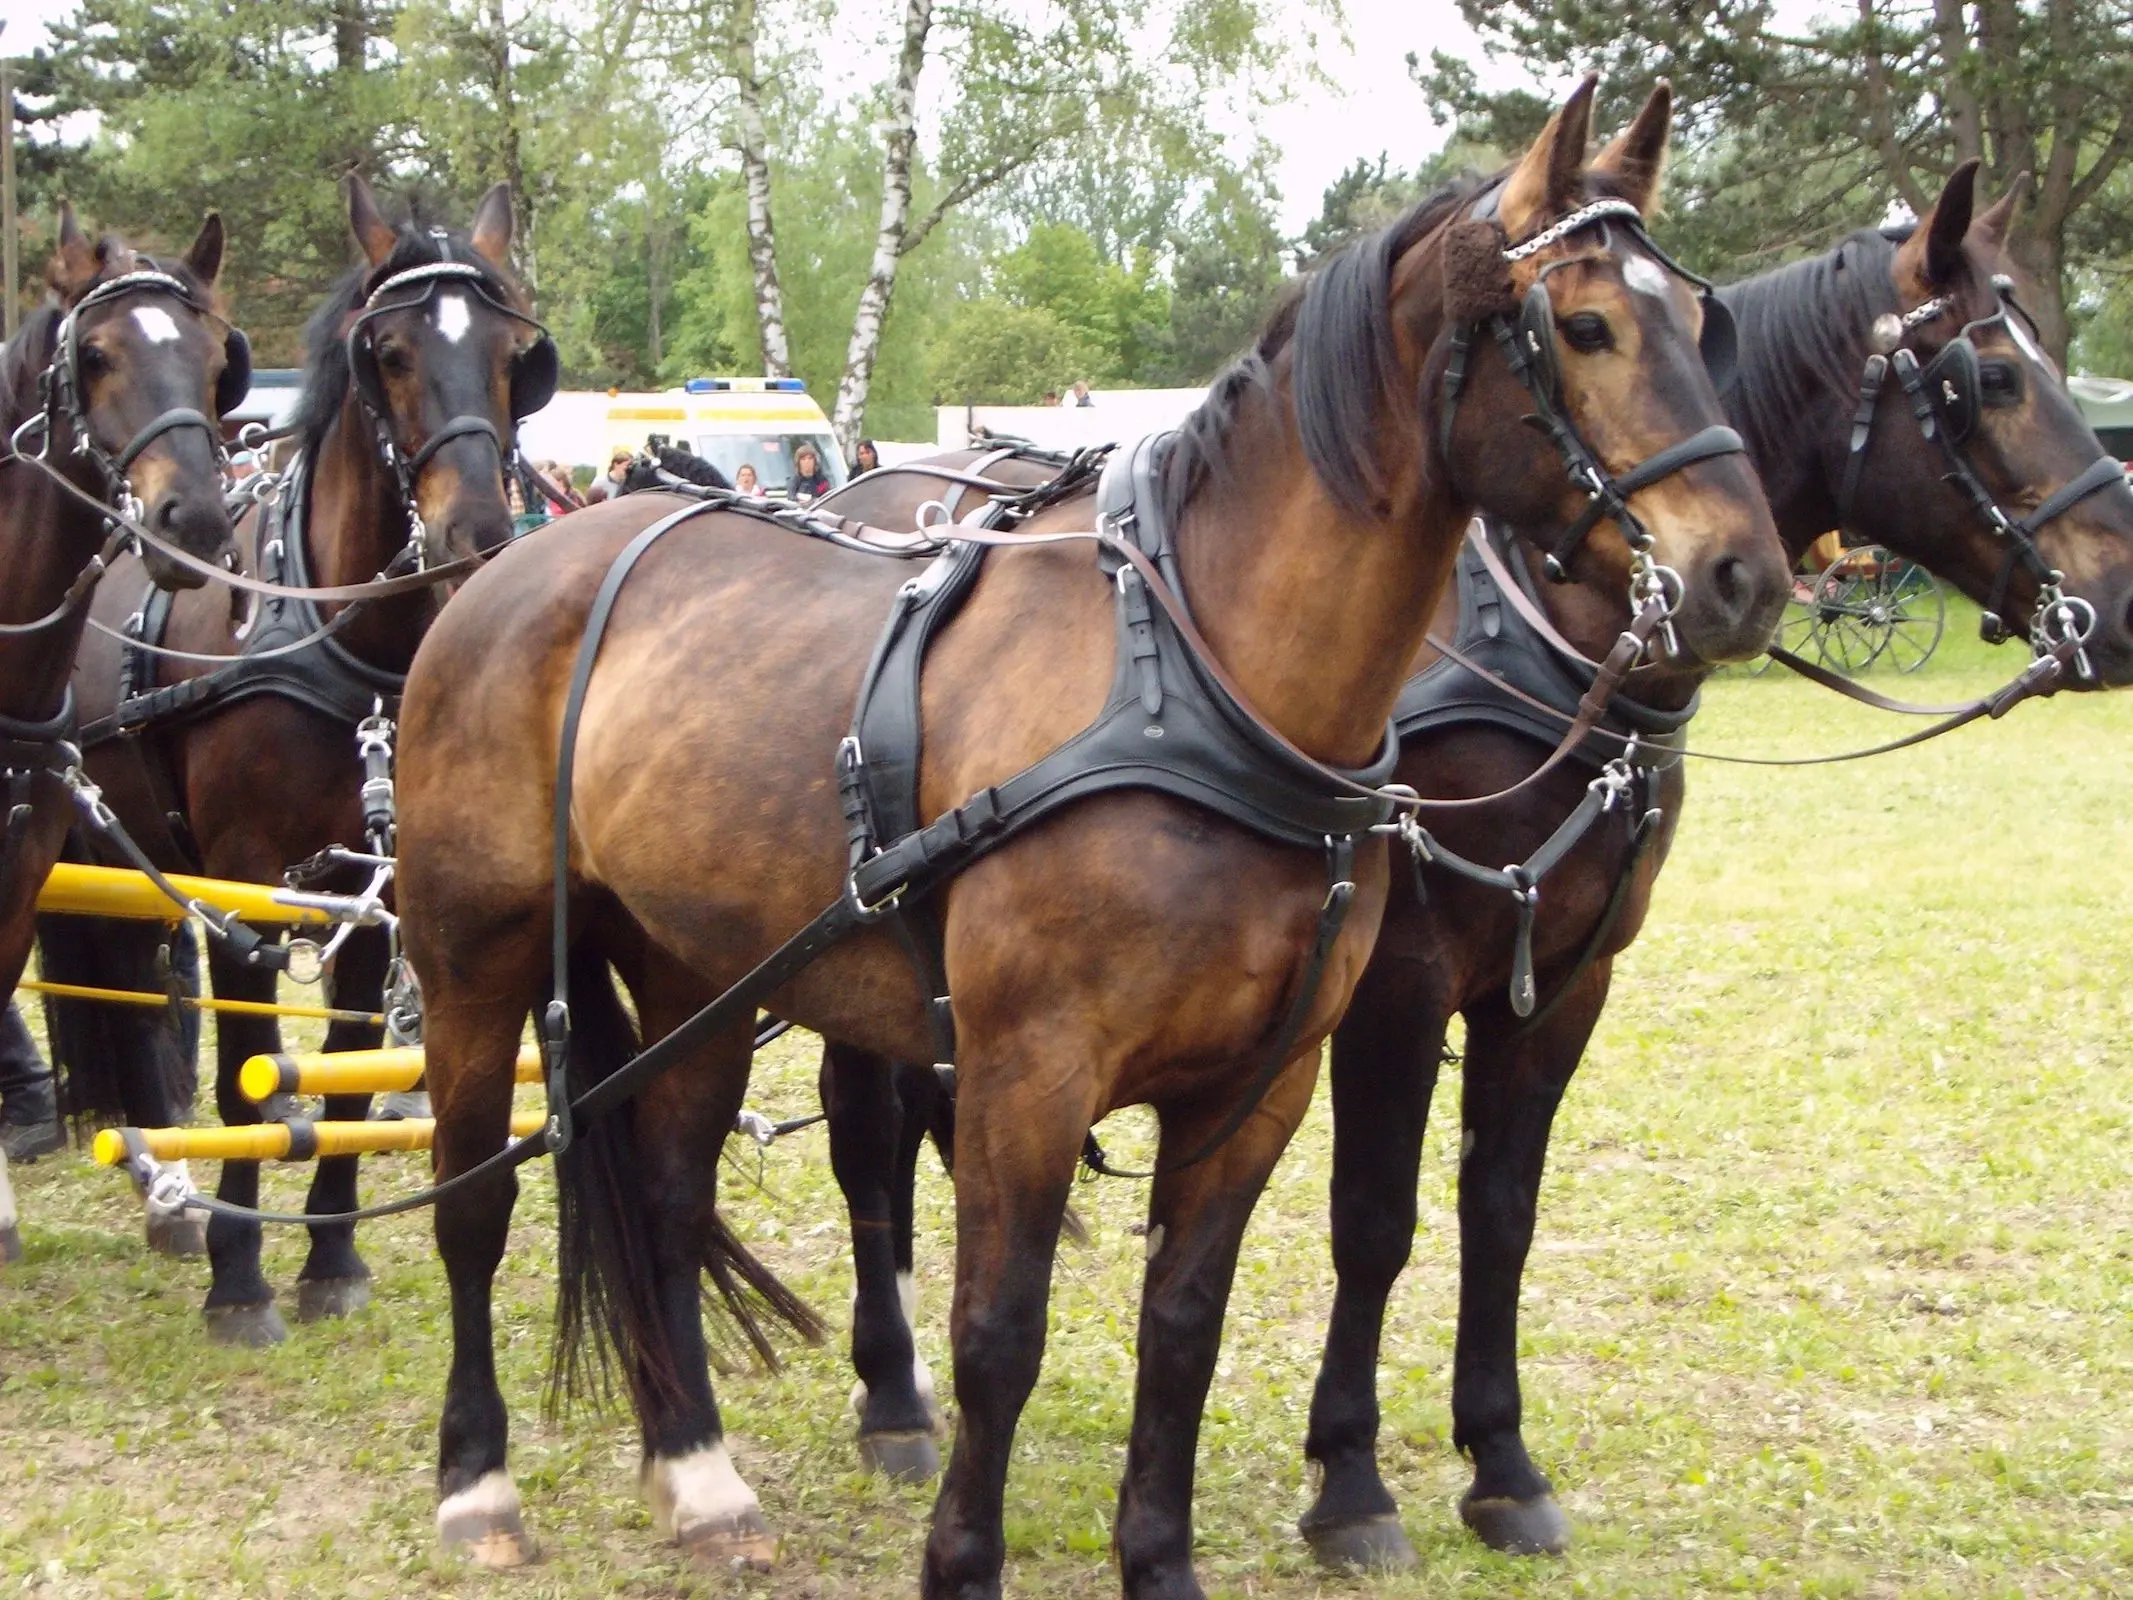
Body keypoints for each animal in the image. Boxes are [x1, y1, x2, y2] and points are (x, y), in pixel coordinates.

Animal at [39, 174, 558, 1348]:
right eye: (391, 352)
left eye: (516, 356)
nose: (478, 535)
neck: (346, 641)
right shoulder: (243, 877)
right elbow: (241, 1077)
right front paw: (241, 1278)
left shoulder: (383, 884)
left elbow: (354, 1076)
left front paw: (331, 1254)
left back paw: (166, 1192)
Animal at [396, 81, 1783, 1595]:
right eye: (1584, 326)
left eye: (1702, 324)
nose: (1747, 573)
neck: (1201, 688)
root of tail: (512, 565)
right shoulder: (1029, 1076)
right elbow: (998, 1337)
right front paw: (963, 1558)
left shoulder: (1261, 1086)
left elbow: (1183, 1329)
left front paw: (1161, 1558)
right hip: (472, 962)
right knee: (471, 1205)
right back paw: (477, 1482)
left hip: (694, 973)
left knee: (660, 1189)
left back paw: (697, 1474)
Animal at [1288, 166, 2133, 1578]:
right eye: (1995, 381)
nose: (2123, 602)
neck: (1548, 634)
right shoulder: (1401, 978)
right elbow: (1376, 1218)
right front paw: (1351, 1479)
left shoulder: (1567, 981)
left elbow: (1501, 1210)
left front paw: (1500, 1460)